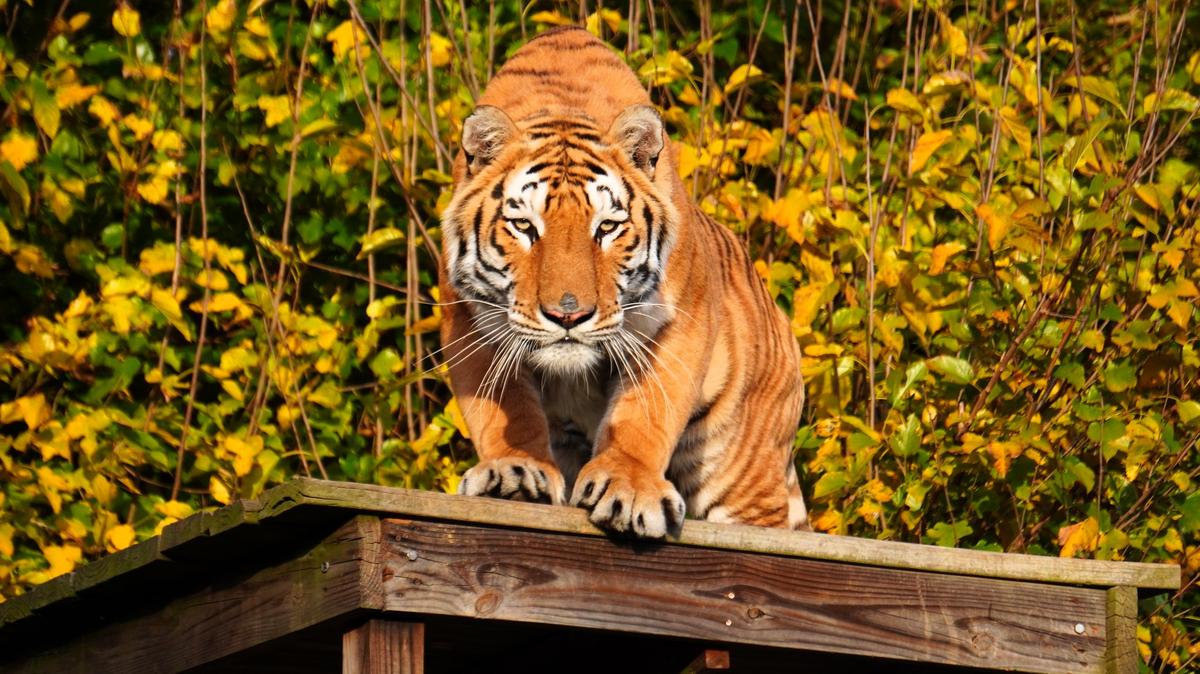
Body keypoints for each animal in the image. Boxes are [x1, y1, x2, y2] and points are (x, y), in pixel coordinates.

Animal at [439, 26, 808, 538]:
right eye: (525, 227)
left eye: (607, 228)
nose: (568, 314)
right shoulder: (471, 322)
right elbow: (503, 407)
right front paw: (514, 471)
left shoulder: (682, 319)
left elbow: (646, 412)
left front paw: (629, 488)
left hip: (744, 470)